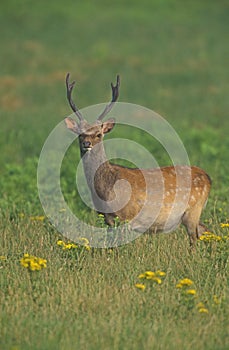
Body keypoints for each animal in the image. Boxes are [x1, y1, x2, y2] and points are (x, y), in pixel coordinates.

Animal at [64, 73, 211, 246]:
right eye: (80, 134)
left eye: (98, 134)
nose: (87, 143)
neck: (105, 189)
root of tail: (208, 178)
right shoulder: (108, 220)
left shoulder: (126, 217)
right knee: (204, 230)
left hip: (193, 209)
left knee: (194, 237)